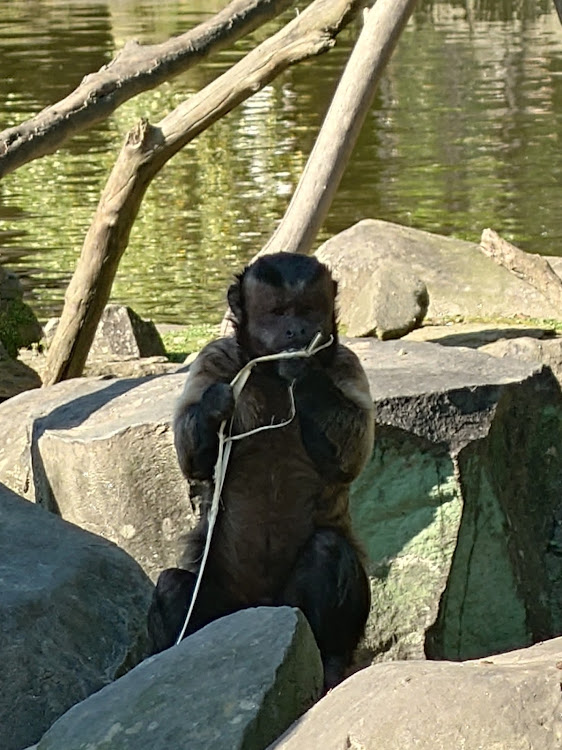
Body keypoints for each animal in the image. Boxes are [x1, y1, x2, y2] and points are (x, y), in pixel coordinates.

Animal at [150, 254, 372, 692]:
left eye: (307, 310)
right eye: (279, 313)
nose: (296, 331)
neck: (271, 375)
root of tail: (263, 610)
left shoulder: (346, 363)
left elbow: (353, 454)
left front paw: (306, 370)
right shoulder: (214, 358)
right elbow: (191, 458)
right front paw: (214, 406)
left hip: (292, 610)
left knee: (328, 550)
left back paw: (330, 660)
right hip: (230, 606)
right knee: (171, 586)